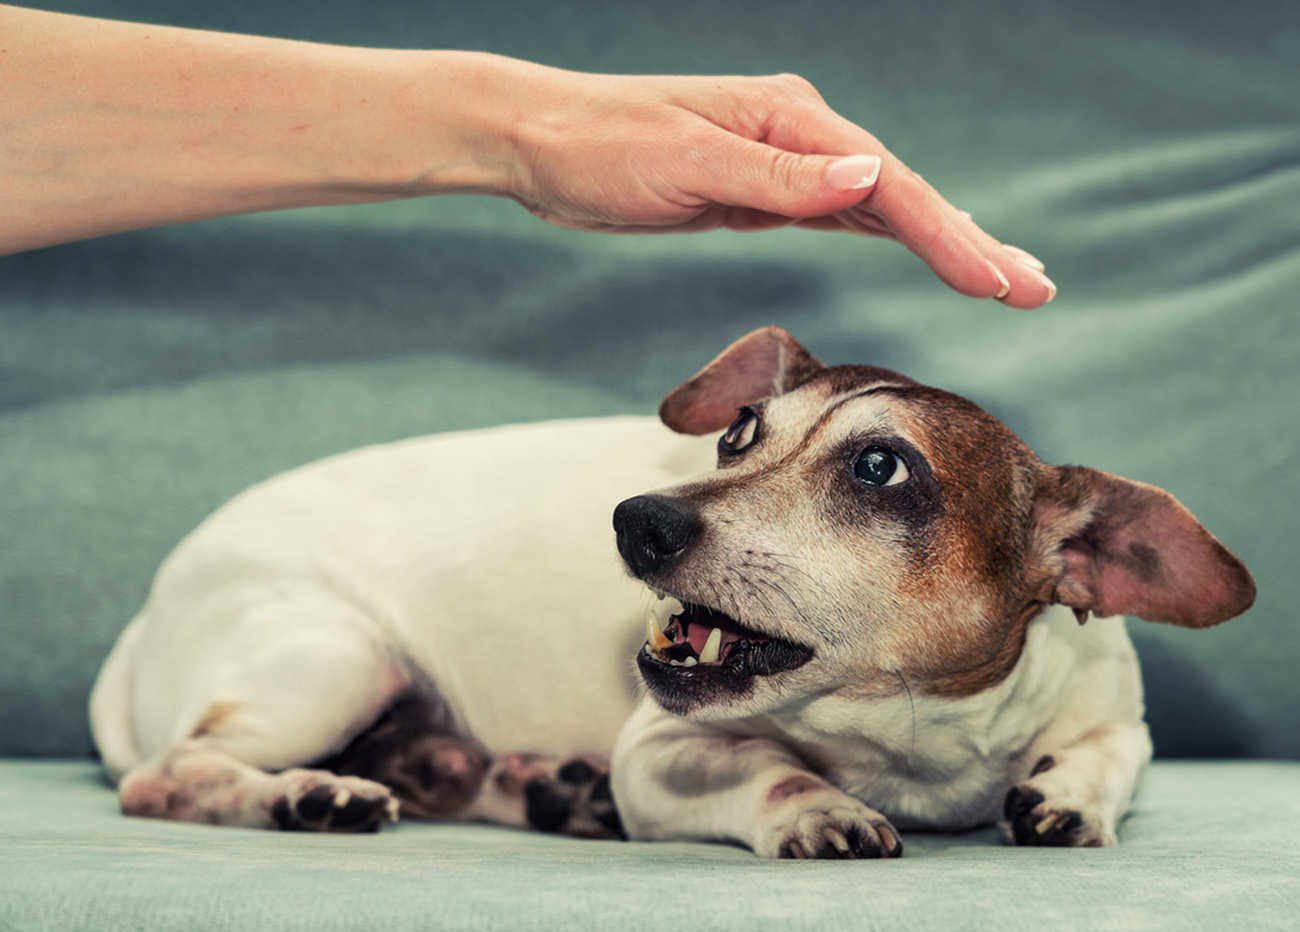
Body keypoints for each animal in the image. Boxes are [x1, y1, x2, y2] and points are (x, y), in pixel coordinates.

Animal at [86, 327, 1253, 857]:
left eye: (881, 468)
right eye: (739, 434)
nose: (637, 518)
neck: (907, 740)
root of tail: (144, 615)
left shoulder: (1115, 714)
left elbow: (1107, 756)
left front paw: (1067, 796)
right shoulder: (662, 751)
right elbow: (771, 773)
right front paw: (818, 805)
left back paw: (538, 786)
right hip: (332, 658)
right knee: (171, 774)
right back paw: (305, 794)